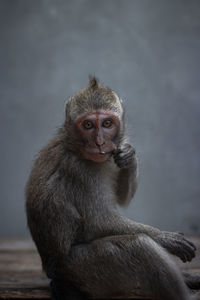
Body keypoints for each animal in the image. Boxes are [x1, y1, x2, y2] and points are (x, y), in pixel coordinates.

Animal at [25, 77, 199, 300]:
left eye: (107, 123)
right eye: (88, 125)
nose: (100, 142)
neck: (74, 147)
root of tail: (52, 270)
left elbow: (121, 197)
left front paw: (129, 155)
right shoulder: (79, 171)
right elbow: (99, 222)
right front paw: (166, 238)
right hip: (82, 269)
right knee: (140, 246)